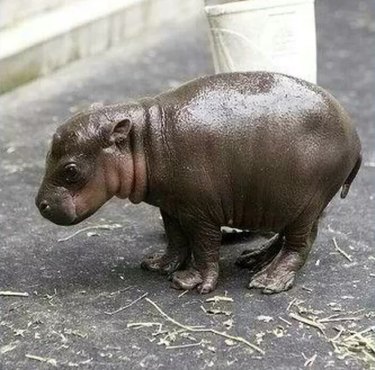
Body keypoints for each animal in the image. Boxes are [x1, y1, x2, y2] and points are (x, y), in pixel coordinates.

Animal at [36, 71, 362, 294]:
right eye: (47, 154)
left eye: (71, 170)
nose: (40, 204)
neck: (144, 139)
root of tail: (355, 136)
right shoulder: (170, 205)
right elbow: (176, 239)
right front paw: (157, 264)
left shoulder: (200, 212)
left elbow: (205, 246)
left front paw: (192, 282)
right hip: (284, 201)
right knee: (284, 236)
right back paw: (253, 259)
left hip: (306, 203)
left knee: (300, 243)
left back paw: (268, 281)